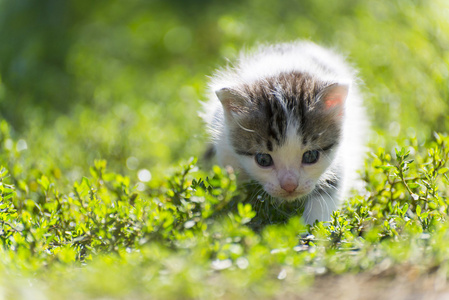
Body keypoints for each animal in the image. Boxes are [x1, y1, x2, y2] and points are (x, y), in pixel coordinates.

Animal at [201, 41, 366, 225]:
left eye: (311, 156)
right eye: (263, 160)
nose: (289, 186)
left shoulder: (340, 157)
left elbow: (329, 190)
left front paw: (313, 227)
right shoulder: (226, 152)